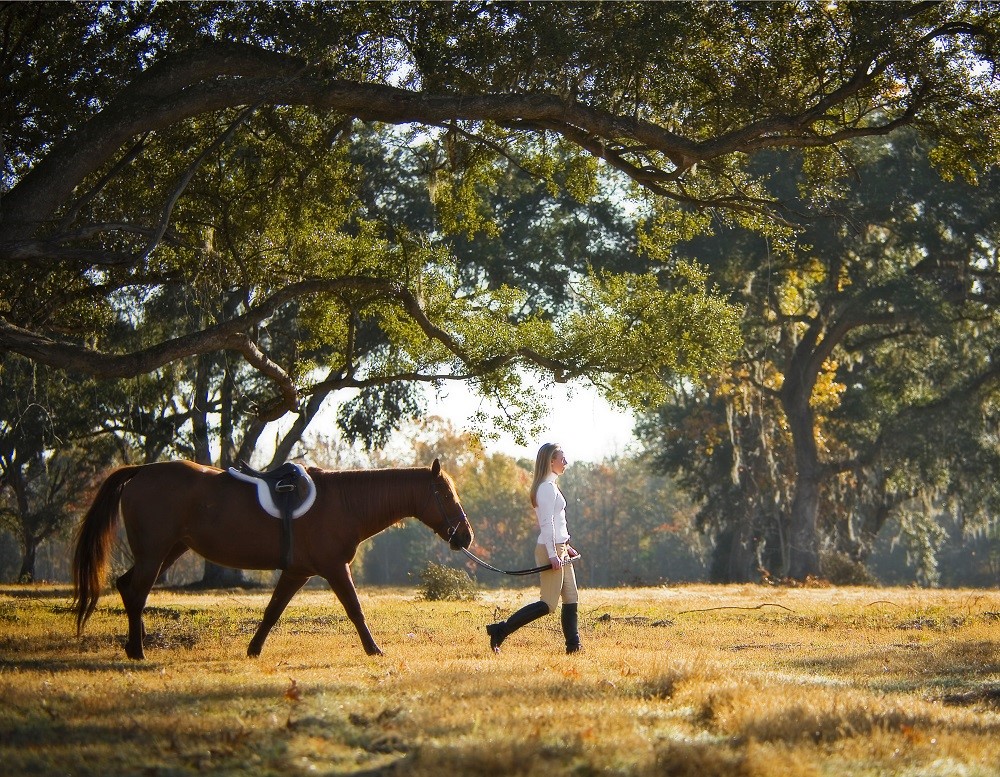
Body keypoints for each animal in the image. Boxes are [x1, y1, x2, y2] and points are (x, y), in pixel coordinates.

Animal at [74, 458, 472, 656]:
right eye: (446, 495)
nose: (465, 536)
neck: (343, 503)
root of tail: (143, 470)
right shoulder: (334, 568)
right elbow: (355, 609)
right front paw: (374, 649)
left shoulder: (297, 572)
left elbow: (272, 612)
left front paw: (253, 649)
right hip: (155, 551)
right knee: (137, 592)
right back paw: (138, 651)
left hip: (168, 550)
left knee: (128, 587)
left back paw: (134, 644)